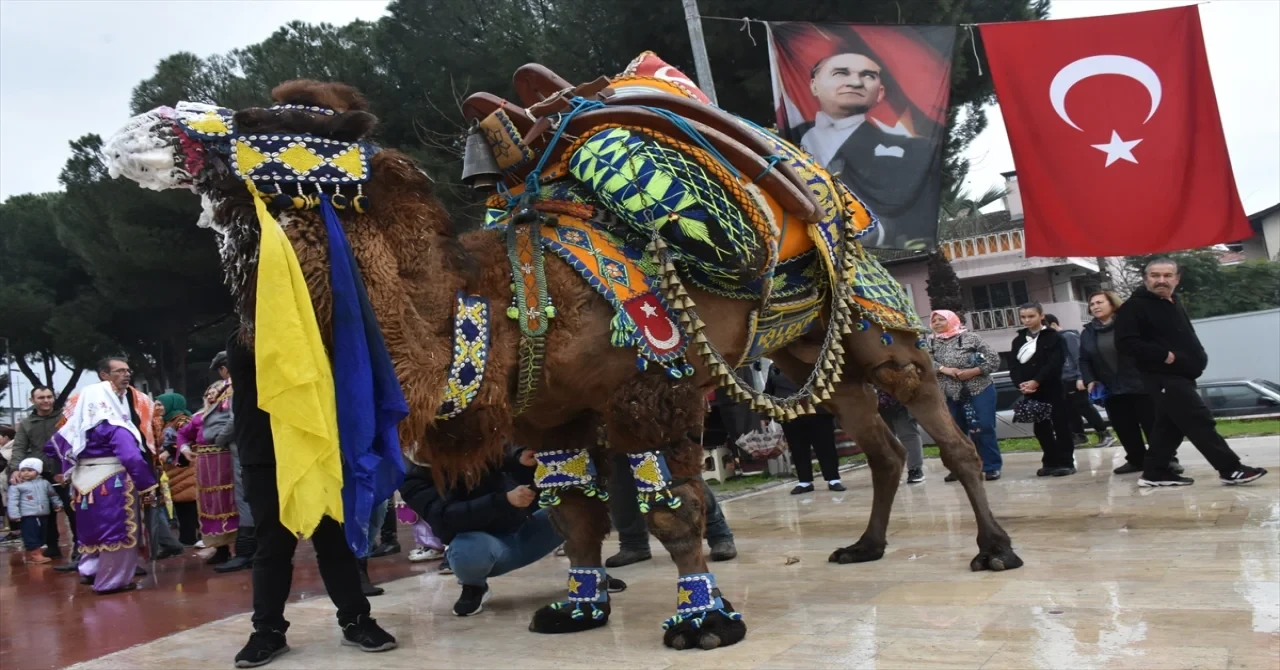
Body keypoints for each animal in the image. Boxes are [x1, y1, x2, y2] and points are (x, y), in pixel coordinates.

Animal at [110, 55, 1024, 653]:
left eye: (281, 126)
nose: (136, 130)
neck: (496, 303)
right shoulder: (545, 416)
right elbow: (574, 512)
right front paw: (579, 609)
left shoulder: (653, 390)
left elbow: (672, 509)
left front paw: (703, 621)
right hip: (804, 350)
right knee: (873, 440)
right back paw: (866, 546)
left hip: (876, 320)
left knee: (941, 426)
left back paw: (994, 548)